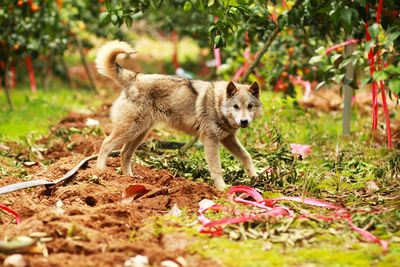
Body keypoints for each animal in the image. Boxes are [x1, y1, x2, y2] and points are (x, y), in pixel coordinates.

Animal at [95, 40, 264, 191]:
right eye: (236, 106)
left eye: (250, 106)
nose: (244, 121)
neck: (218, 104)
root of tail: (135, 76)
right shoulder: (211, 141)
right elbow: (217, 168)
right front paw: (222, 188)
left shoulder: (228, 139)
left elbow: (247, 156)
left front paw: (256, 178)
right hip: (132, 129)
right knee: (106, 144)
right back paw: (99, 173)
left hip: (140, 132)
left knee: (124, 153)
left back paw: (128, 178)